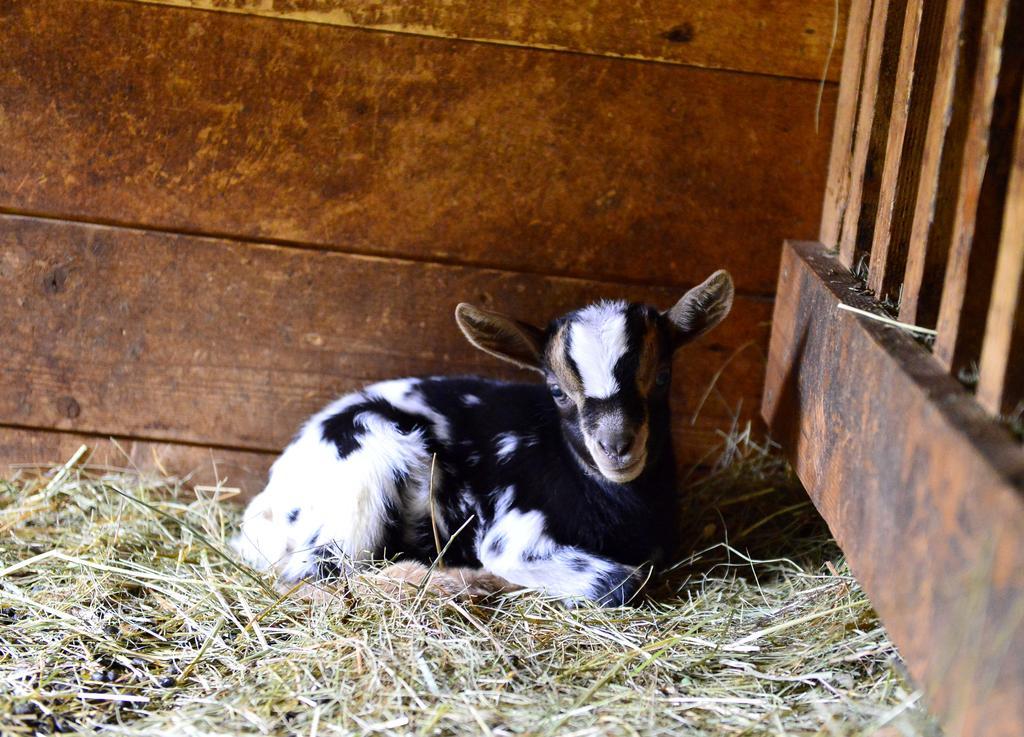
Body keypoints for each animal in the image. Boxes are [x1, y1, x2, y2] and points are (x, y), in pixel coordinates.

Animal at [234, 270, 733, 605]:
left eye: (663, 376)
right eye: (556, 390)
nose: (616, 446)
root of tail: (268, 504)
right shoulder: (512, 534)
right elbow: (623, 583)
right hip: (364, 467)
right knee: (312, 573)